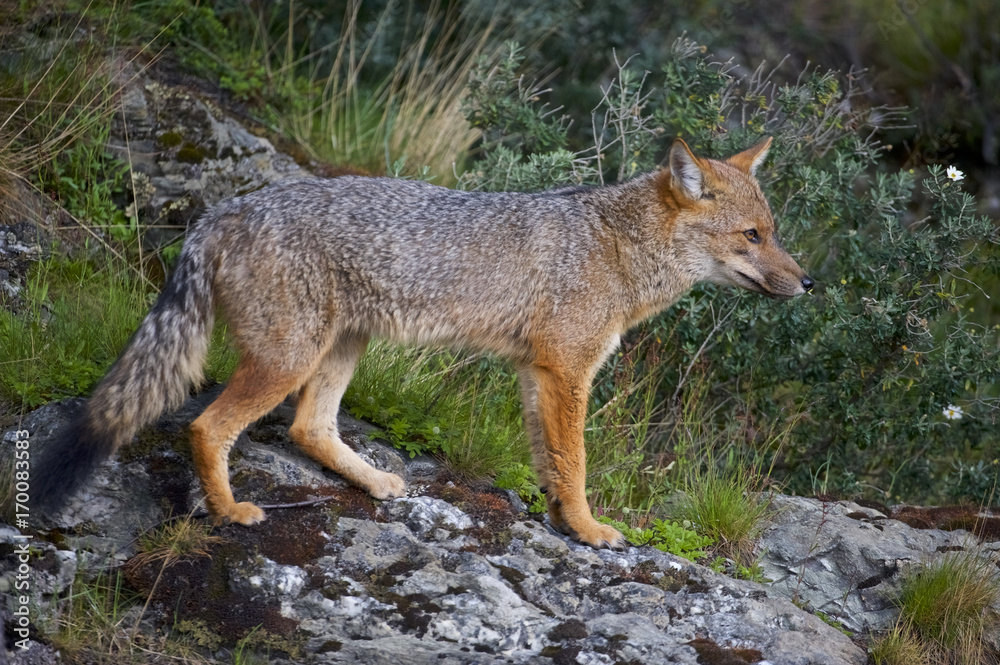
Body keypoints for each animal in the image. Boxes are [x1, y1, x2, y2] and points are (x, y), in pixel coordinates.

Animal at [33, 137, 812, 549]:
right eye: (753, 236)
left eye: (773, 231)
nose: (807, 282)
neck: (614, 246)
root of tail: (221, 211)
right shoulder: (568, 371)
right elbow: (578, 462)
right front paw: (591, 530)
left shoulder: (537, 374)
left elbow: (552, 463)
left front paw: (562, 521)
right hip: (289, 359)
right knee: (206, 425)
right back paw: (229, 511)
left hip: (341, 349)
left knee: (309, 428)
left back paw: (377, 483)